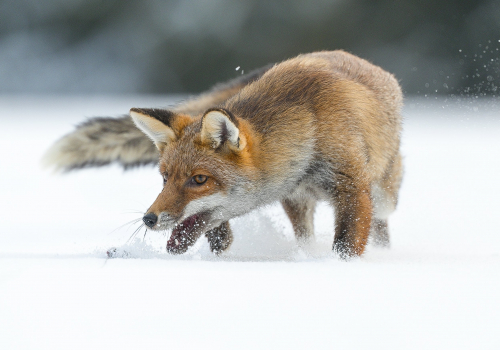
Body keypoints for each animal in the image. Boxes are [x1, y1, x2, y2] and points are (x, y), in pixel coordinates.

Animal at [45, 51, 404, 260]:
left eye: (199, 179)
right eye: (165, 178)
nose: (149, 219)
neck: (310, 128)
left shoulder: (351, 187)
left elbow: (346, 244)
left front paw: (340, 268)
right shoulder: (296, 194)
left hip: (384, 195)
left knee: (381, 224)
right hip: (300, 204)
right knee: (305, 236)